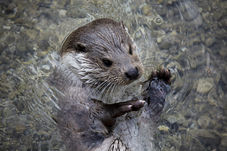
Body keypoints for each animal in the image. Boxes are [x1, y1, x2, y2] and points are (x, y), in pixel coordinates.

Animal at [49, 18, 170, 150]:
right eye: (106, 62)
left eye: (130, 50)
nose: (132, 72)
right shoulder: (73, 104)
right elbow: (88, 120)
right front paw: (121, 106)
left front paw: (158, 81)